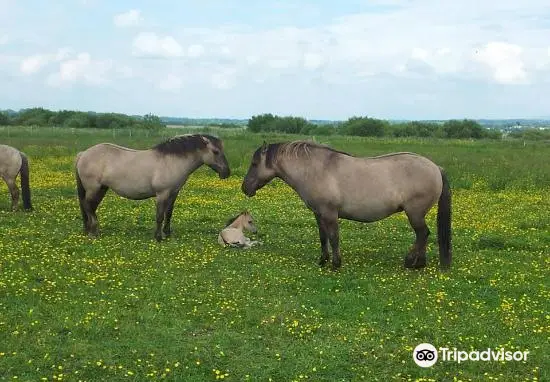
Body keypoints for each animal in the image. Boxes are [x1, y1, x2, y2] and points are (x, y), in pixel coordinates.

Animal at [75, 134, 231, 240]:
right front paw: (158, 237)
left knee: (90, 207)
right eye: (216, 152)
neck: (171, 161)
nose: (226, 172)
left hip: (101, 189)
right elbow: (159, 215)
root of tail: (83, 154)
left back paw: (89, 230)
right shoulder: (162, 194)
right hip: (93, 189)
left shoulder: (173, 193)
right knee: (88, 206)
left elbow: (169, 213)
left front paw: (167, 233)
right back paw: (94, 232)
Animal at [244, 141, 454, 272]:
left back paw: (412, 262)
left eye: (254, 163)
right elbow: (323, 237)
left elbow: (334, 237)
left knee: (422, 234)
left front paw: (336, 264)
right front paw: (323, 260)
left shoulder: (330, 214)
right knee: (423, 235)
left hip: (414, 213)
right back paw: (419, 263)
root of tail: (436, 167)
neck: (316, 170)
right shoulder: (319, 214)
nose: (244, 188)